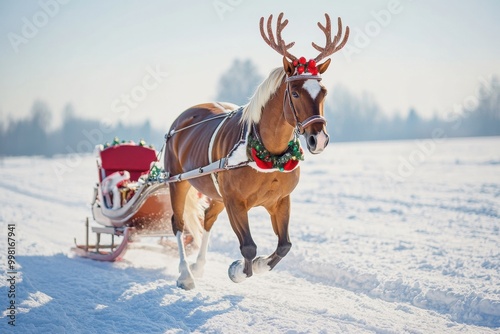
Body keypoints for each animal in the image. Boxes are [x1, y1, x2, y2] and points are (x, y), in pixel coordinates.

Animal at [163, 12, 348, 290]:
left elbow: (284, 245)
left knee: (208, 218)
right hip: (178, 181)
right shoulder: (235, 202)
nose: (319, 139)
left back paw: (199, 265)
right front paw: (239, 270)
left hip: (216, 194)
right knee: (178, 223)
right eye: (295, 93)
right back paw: (186, 273)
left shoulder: (280, 200)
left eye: (323, 92)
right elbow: (248, 247)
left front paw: (261, 265)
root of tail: (182, 118)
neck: (270, 156)